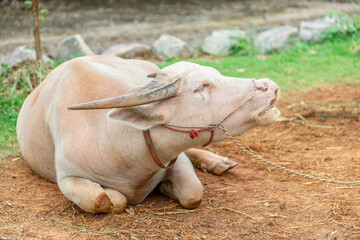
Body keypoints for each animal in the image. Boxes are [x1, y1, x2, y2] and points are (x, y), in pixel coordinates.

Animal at [16, 55, 280, 213]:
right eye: (201, 87)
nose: (270, 86)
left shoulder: (174, 157)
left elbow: (193, 193)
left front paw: (166, 188)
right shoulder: (67, 178)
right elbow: (103, 199)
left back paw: (219, 162)